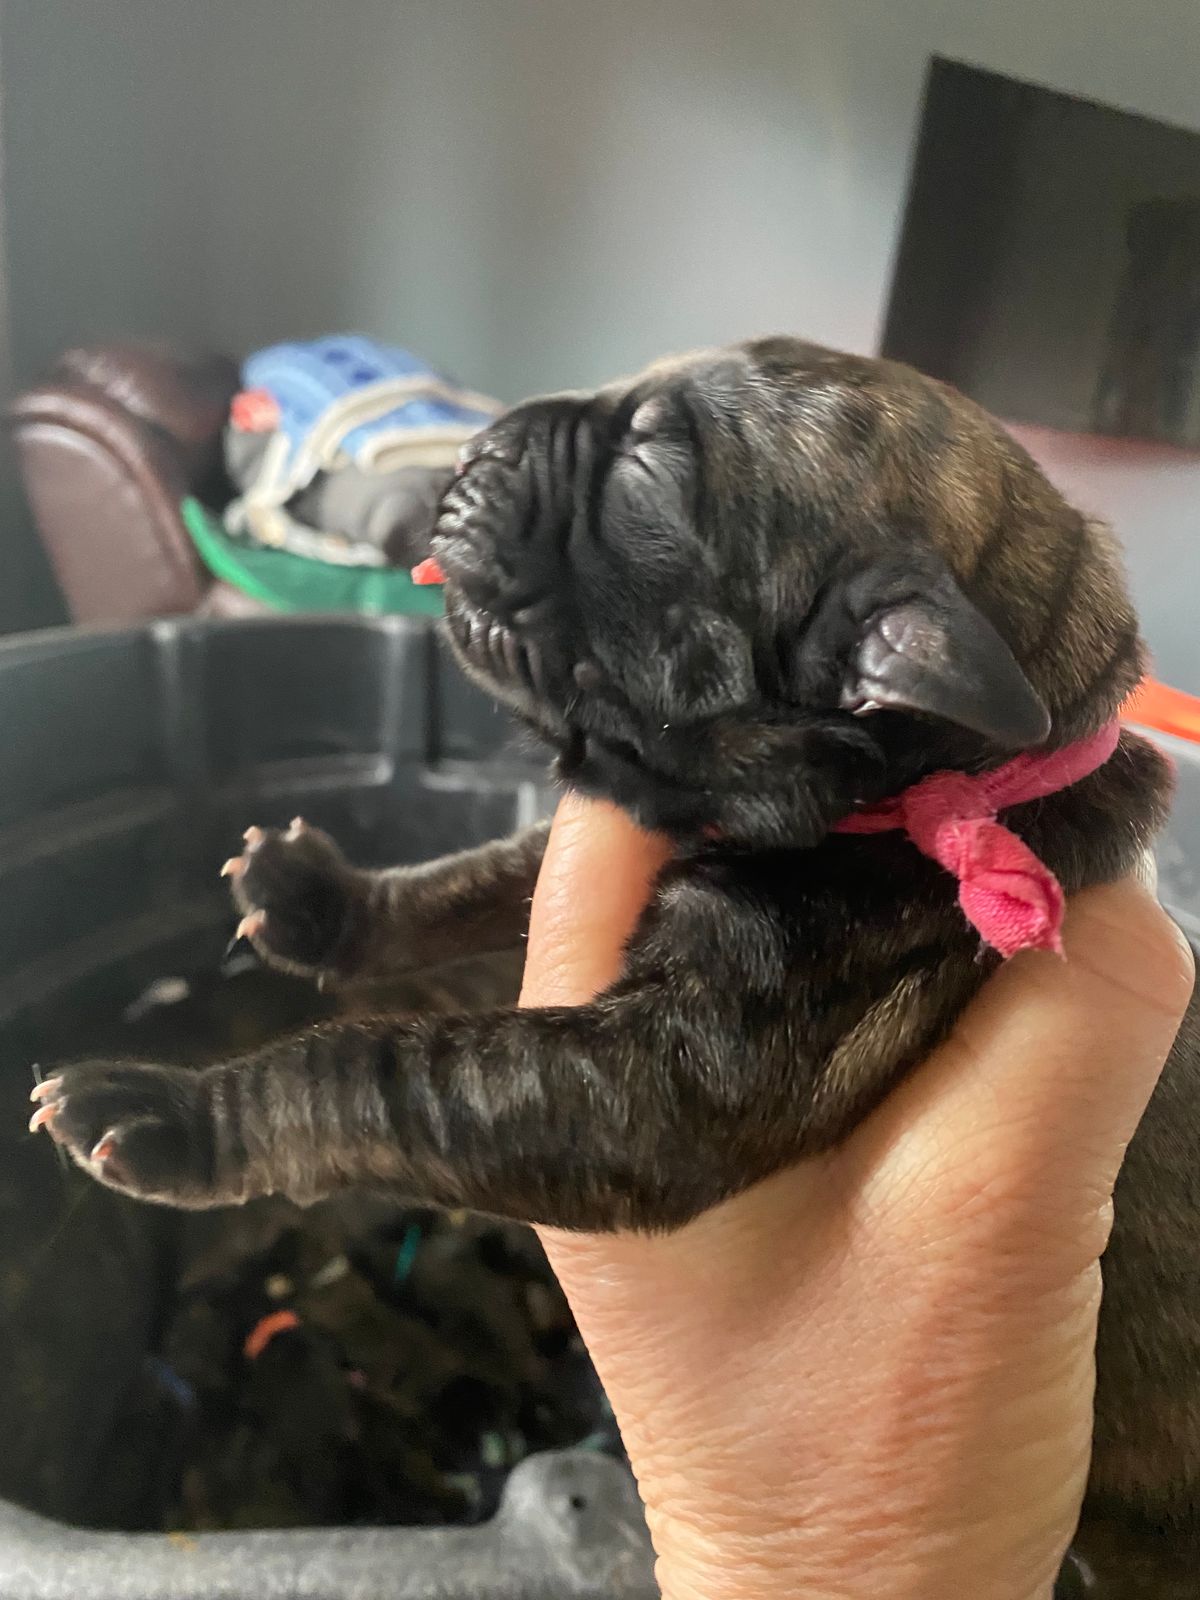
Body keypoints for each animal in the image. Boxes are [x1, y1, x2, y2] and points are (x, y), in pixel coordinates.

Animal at [31, 338, 1200, 1564]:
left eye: (649, 472)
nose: (478, 442)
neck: (929, 789)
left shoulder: (648, 1084)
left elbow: (378, 1066)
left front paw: (177, 1114)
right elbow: (473, 878)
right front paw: (323, 905)